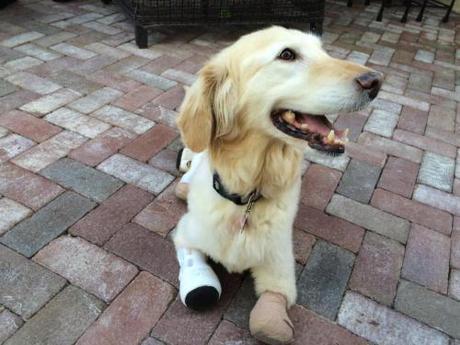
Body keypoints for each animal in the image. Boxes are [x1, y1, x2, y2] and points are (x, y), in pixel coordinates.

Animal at [172, 25, 380, 342]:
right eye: (287, 54)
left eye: (323, 51)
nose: (375, 81)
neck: (247, 197)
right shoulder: (186, 232)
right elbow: (194, 259)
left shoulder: (278, 257)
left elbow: (272, 304)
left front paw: (272, 320)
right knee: (194, 156)